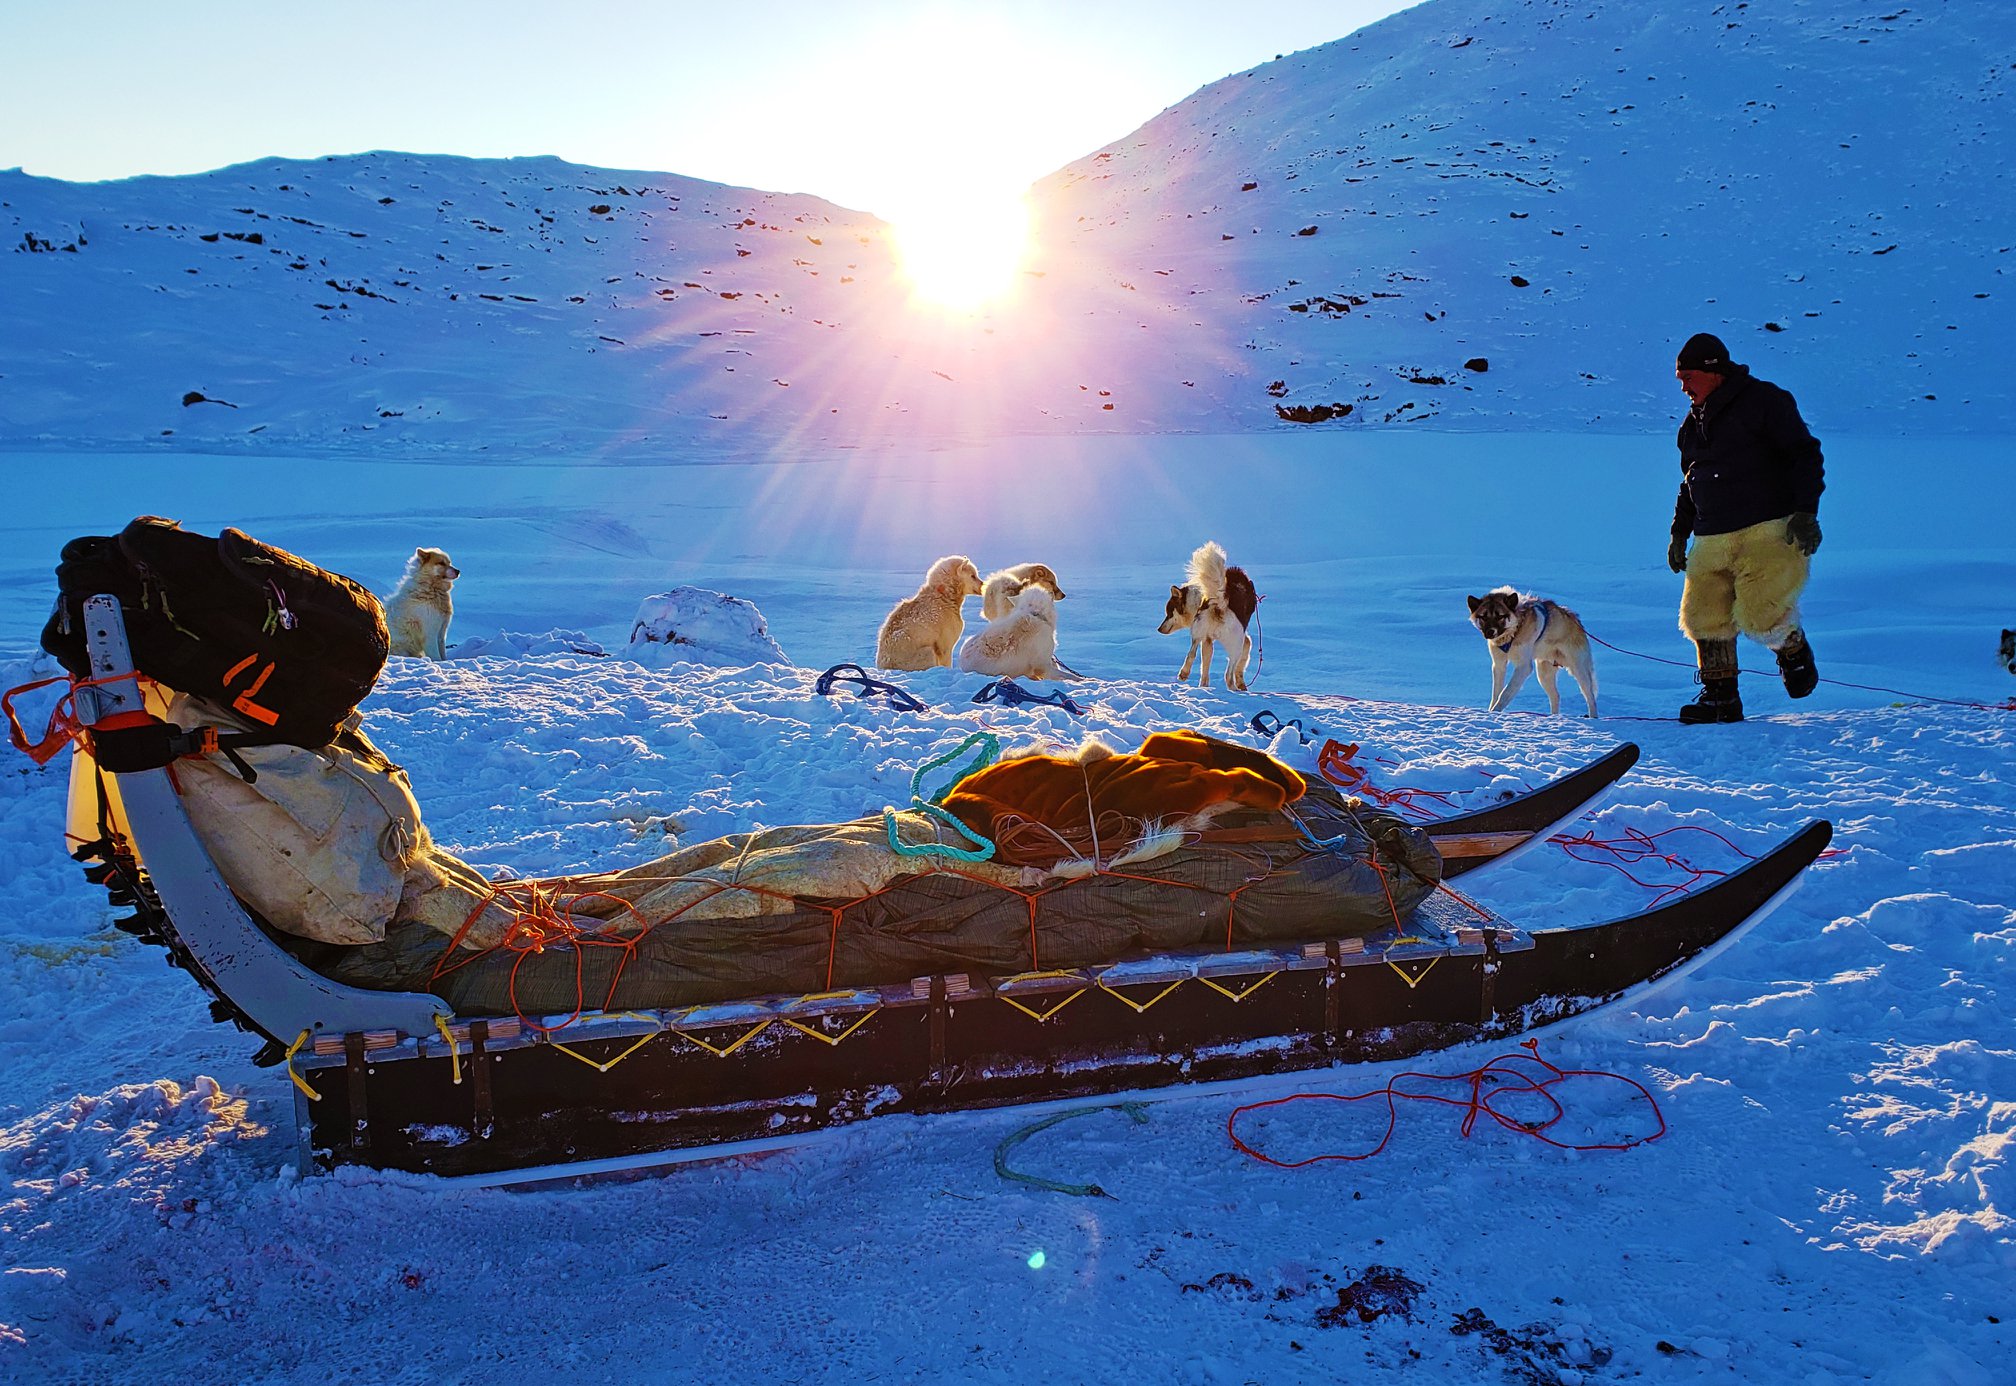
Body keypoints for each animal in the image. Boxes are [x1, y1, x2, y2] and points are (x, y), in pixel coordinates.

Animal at [1161, 539, 1249, 693]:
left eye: (1169, 613)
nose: (1159, 629)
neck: (1198, 600)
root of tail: (1220, 601)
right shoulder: (1243, 639)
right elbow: (1245, 653)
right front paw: (1241, 683)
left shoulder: (1206, 639)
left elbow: (1205, 664)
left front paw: (1204, 685)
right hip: (1236, 643)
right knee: (1228, 674)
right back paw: (1234, 689)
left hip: (1199, 631)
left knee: (1191, 653)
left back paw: (1184, 673)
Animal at [1475, 580, 1596, 713]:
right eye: (1483, 617)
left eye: (1500, 616)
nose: (1489, 632)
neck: (1514, 632)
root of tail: (1577, 622)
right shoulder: (1499, 664)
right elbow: (1496, 693)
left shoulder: (1524, 667)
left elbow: (1505, 692)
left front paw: (1496, 710)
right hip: (1544, 674)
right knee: (1555, 696)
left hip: (1579, 671)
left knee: (1590, 697)